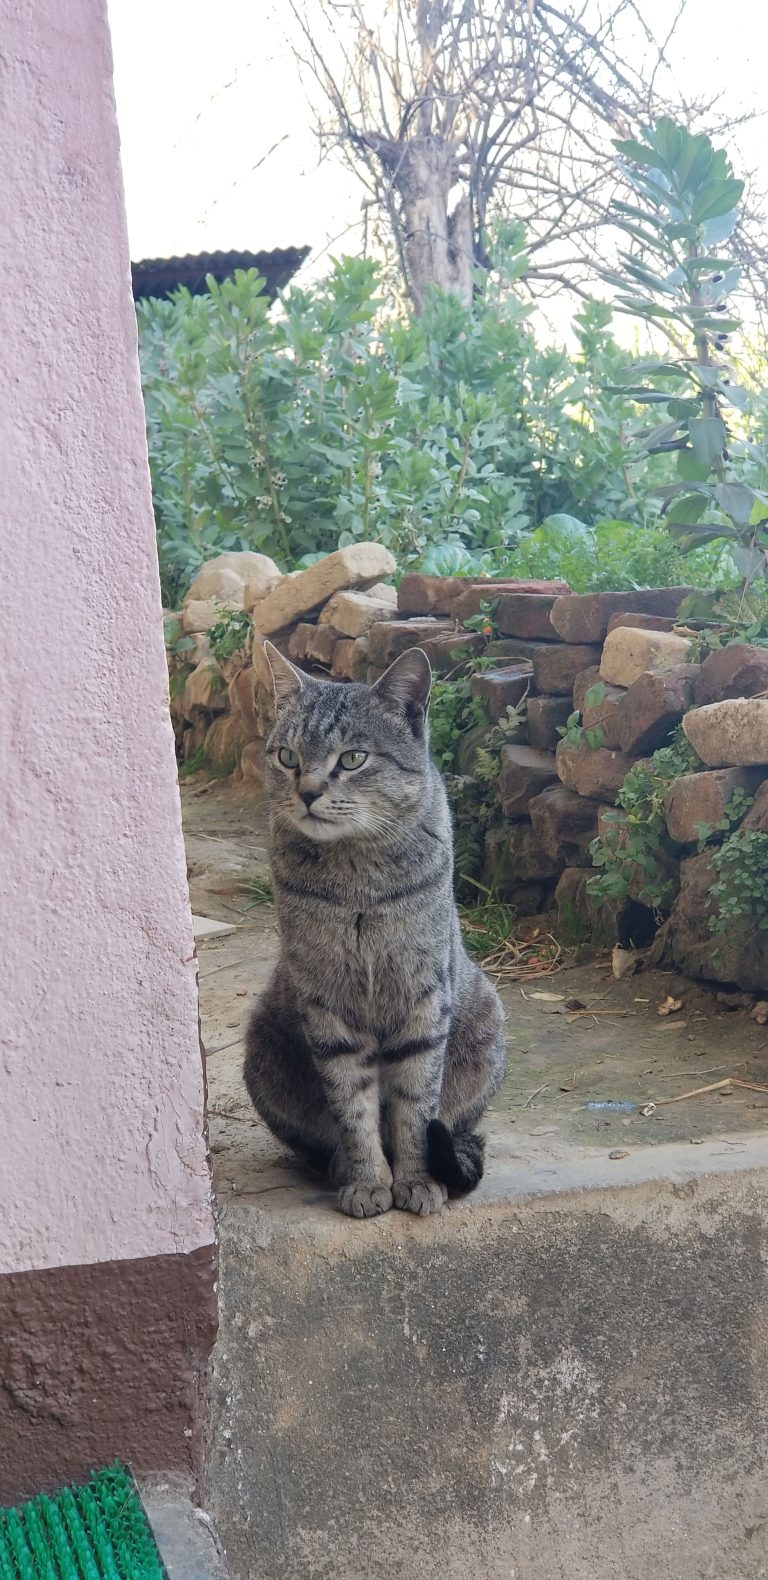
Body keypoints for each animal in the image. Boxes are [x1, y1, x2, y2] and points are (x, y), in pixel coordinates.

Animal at [244, 641, 502, 1219]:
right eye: (287, 757)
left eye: (352, 759)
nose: (308, 791)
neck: (357, 881)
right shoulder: (326, 1004)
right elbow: (352, 1106)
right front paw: (367, 1180)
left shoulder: (423, 997)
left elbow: (416, 1107)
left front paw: (416, 1180)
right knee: (318, 1143)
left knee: (454, 1128)